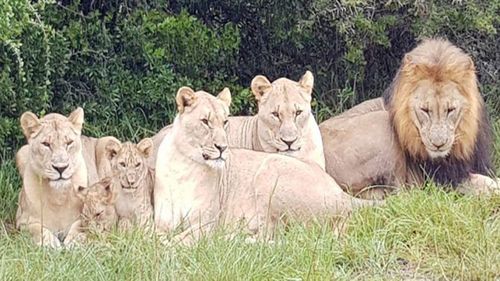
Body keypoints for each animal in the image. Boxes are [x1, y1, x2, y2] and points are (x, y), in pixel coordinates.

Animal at [15, 106, 89, 246]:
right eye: (46, 144)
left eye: (69, 142)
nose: (61, 168)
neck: (58, 196)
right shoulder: (22, 221)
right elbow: (38, 230)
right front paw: (51, 243)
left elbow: (79, 225)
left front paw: (73, 241)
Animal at [153, 85, 378, 243]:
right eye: (205, 122)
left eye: (225, 122)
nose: (223, 147)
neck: (184, 166)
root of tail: (342, 193)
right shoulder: (161, 222)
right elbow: (151, 239)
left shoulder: (207, 223)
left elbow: (179, 241)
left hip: (270, 171)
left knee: (273, 236)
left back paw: (229, 240)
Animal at [318, 38, 498, 198]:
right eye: (425, 110)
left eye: (450, 110)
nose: (438, 144)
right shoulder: (442, 179)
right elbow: (485, 183)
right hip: (382, 122)